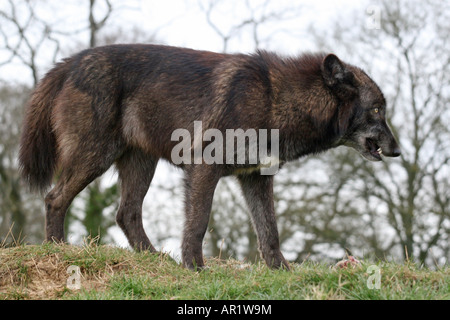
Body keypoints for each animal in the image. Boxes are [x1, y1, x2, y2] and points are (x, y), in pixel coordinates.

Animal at [18, 44, 400, 270]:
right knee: (55, 198)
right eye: (376, 110)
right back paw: (58, 249)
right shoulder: (204, 167)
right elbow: (199, 222)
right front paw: (195, 268)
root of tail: (71, 62)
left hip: (141, 164)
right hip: (95, 156)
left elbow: (269, 231)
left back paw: (153, 257)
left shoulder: (256, 178)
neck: (276, 99)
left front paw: (282, 271)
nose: (398, 150)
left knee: (125, 213)